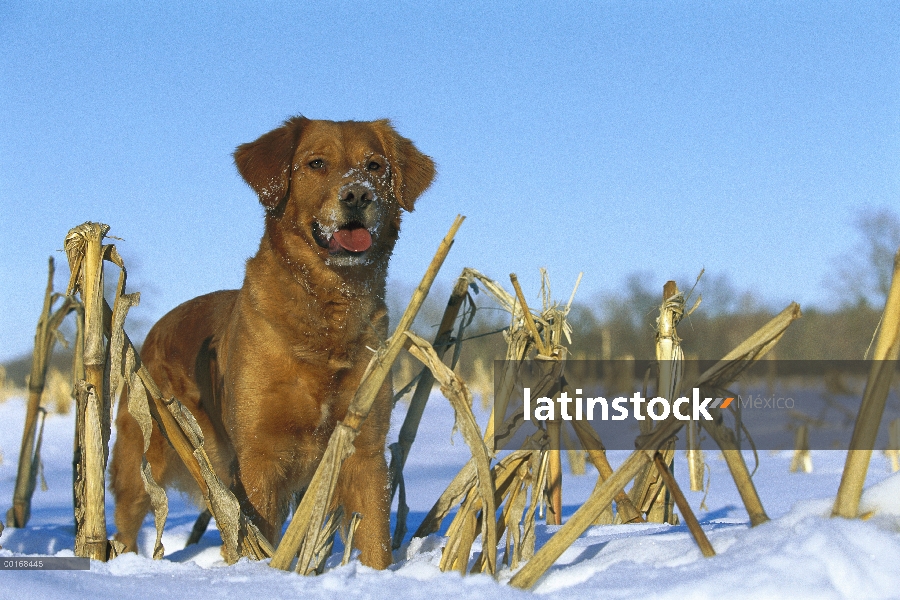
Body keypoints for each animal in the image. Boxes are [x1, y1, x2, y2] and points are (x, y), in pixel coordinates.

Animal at [110, 116, 434, 568]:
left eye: (375, 166)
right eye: (316, 163)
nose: (357, 194)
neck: (327, 311)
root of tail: (157, 328)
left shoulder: (363, 449)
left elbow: (375, 540)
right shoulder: (258, 456)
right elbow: (258, 534)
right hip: (141, 459)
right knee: (126, 523)